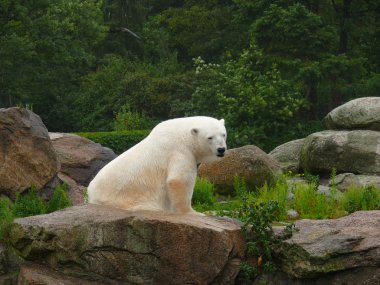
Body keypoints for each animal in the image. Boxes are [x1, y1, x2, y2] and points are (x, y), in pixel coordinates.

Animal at [87, 115, 227, 213]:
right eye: (210, 137)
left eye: (223, 134)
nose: (221, 149)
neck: (183, 134)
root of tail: (90, 193)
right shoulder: (179, 151)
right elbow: (178, 180)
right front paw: (192, 212)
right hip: (120, 200)